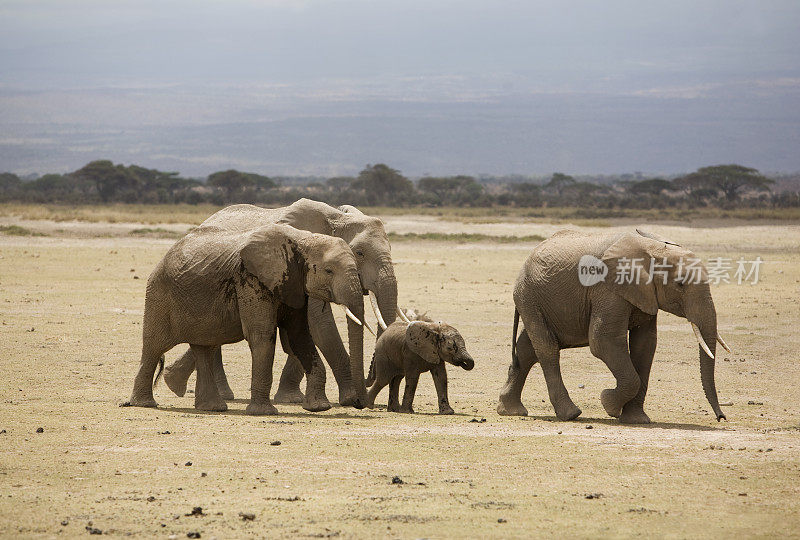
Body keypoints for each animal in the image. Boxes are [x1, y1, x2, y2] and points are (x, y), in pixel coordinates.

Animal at [126, 224, 368, 414]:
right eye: (329, 271)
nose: (358, 403)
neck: (302, 239)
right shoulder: (251, 279)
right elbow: (262, 335)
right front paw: (263, 412)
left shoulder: (294, 284)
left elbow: (300, 337)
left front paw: (318, 407)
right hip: (159, 293)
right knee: (154, 347)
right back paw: (145, 404)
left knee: (204, 348)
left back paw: (212, 408)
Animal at [163, 198, 400, 410]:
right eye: (359, 253)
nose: (364, 400)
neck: (337, 218)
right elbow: (320, 325)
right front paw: (350, 399)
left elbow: (303, 329)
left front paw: (291, 399)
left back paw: (174, 382)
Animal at [500, 228, 732, 422]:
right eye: (680, 284)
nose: (721, 417)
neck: (652, 248)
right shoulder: (608, 290)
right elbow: (603, 341)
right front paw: (608, 404)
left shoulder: (645, 294)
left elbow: (645, 346)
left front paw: (637, 420)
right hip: (529, 296)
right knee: (547, 348)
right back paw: (571, 414)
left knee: (527, 349)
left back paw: (511, 411)